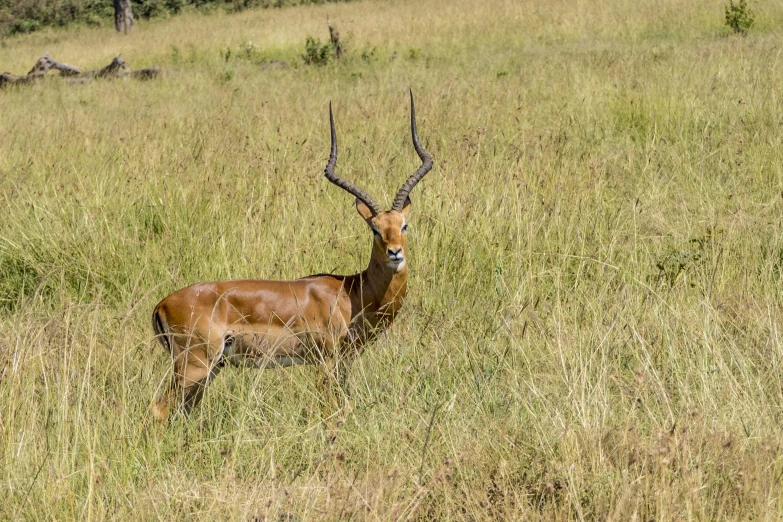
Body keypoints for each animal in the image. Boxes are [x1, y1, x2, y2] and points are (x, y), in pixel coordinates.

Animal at [152, 91, 434, 420]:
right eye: (374, 229)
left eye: (404, 225)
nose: (395, 252)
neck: (352, 292)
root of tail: (162, 304)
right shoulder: (326, 361)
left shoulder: (344, 362)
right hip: (194, 366)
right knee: (159, 409)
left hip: (210, 369)